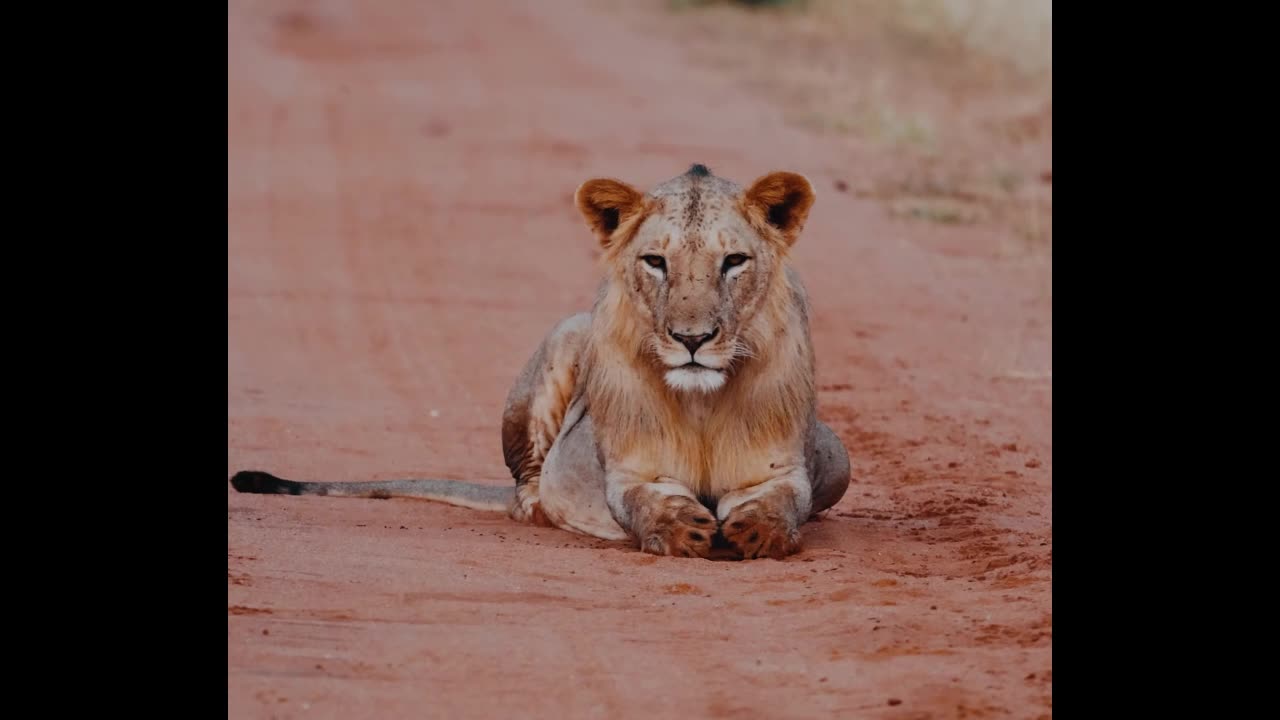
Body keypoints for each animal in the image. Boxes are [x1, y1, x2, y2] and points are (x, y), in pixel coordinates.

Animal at [232, 165, 849, 558]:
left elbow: (779, 504)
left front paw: (760, 534)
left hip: (837, 455)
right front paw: (679, 530)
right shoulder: (632, 471)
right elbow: (648, 500)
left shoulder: (777, 469)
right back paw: (544, 508)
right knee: (526, 484)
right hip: (565, 336)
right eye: (655, 262)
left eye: (733, 261)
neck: (701, 400)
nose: (691, 339)